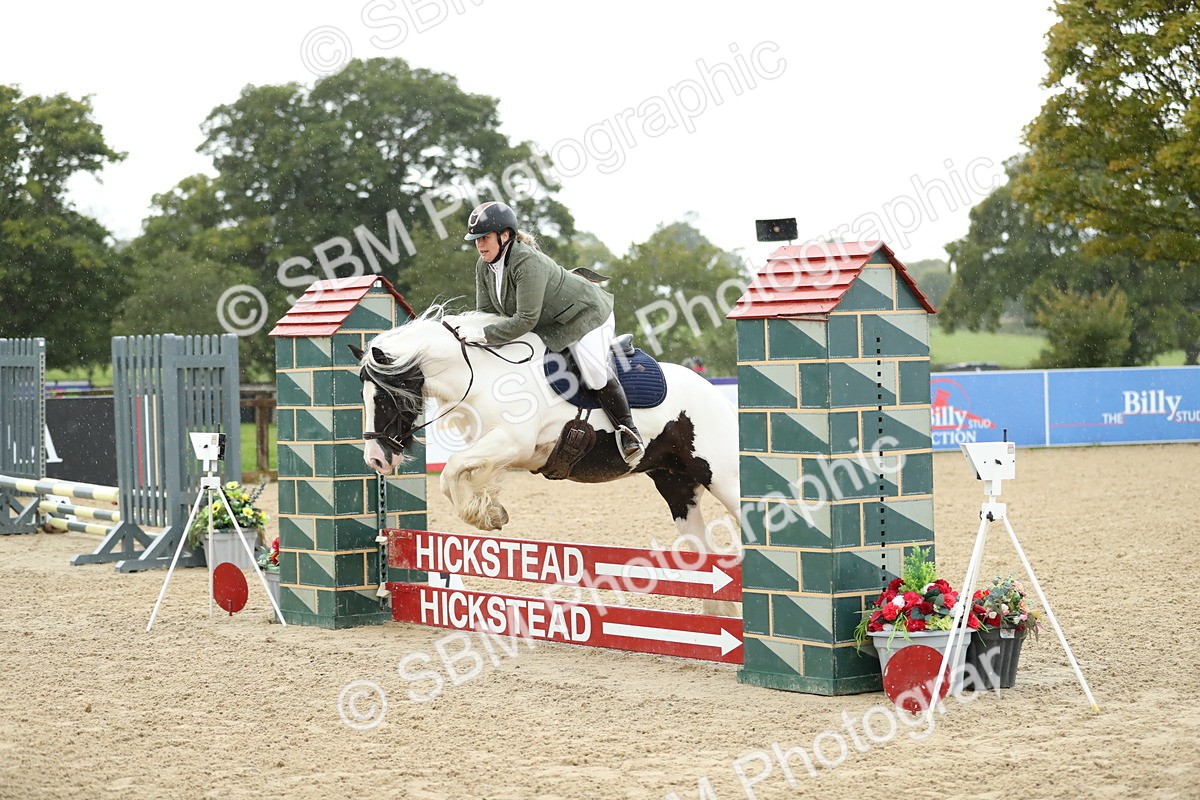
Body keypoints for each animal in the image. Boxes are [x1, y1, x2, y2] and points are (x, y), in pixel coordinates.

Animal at [350, 306, 741, 610]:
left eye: (383, 397)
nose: (376, 461)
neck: (484, 375)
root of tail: (717, 397)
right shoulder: (495, 446)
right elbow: (458, 475)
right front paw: (490, 509)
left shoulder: (513, 443)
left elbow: (451, 471)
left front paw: (485, 515)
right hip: (677, 486)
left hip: (722, 478)